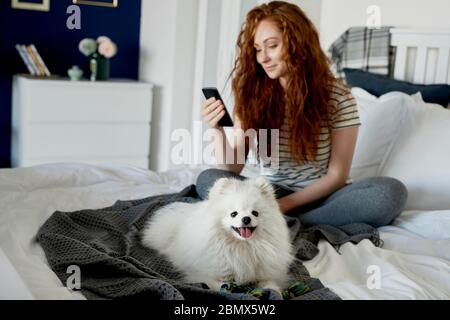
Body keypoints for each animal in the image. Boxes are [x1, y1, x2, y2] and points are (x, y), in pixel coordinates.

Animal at [142, 176, 296, 294]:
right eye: (234, 214)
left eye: (255, 213)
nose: (246, 219)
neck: (242, 246)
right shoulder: (209, 275)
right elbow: (221, 286)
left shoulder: (265, 272)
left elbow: (271, 284)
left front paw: (274, 292)